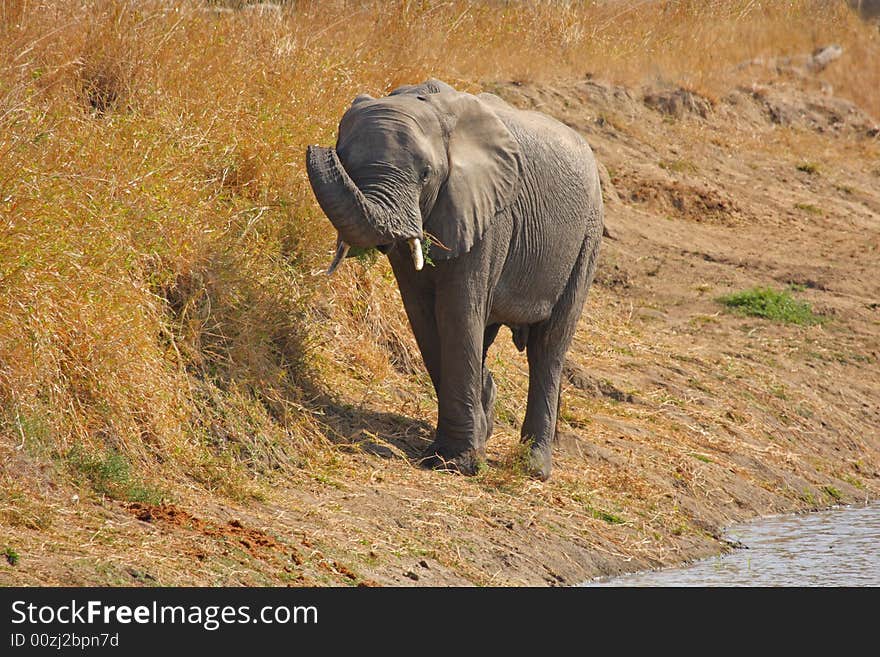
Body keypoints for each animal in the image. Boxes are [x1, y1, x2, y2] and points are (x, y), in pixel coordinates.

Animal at [306, 78, 600, 476]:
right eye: (346, 160)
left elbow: (457, 312)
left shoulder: (491, 215)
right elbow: (424, 317)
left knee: (548, 345)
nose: (320, 149)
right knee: (488, 335)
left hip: (587, 239)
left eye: (426, 174)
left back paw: (533, 467)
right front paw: (467, 442)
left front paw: (454, 463)